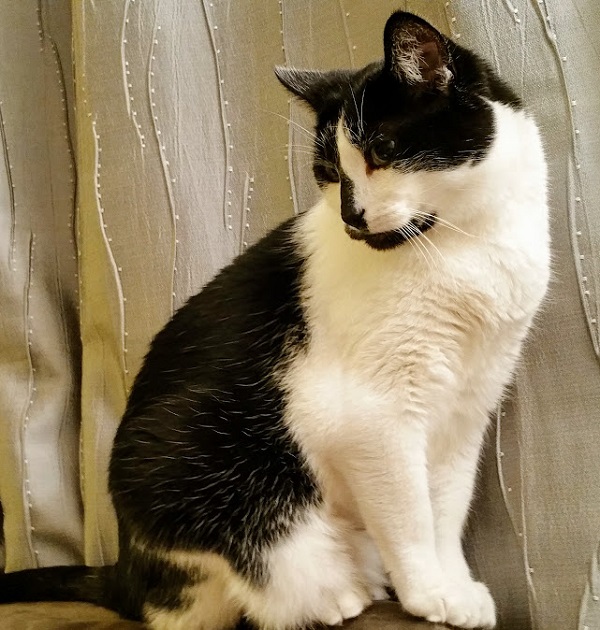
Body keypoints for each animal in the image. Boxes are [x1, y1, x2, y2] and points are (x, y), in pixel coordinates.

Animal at [0, 11, 552, 630]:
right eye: (328, 172)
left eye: (383, 148)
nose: (352, 215)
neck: (467, 245)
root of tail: (124, 573)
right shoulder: (375, 417)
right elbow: (410, 517)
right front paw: (427, 592)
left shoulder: (467, 409)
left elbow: (446, 510)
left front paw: (455, 584)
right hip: (189, 446)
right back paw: (328, 592)